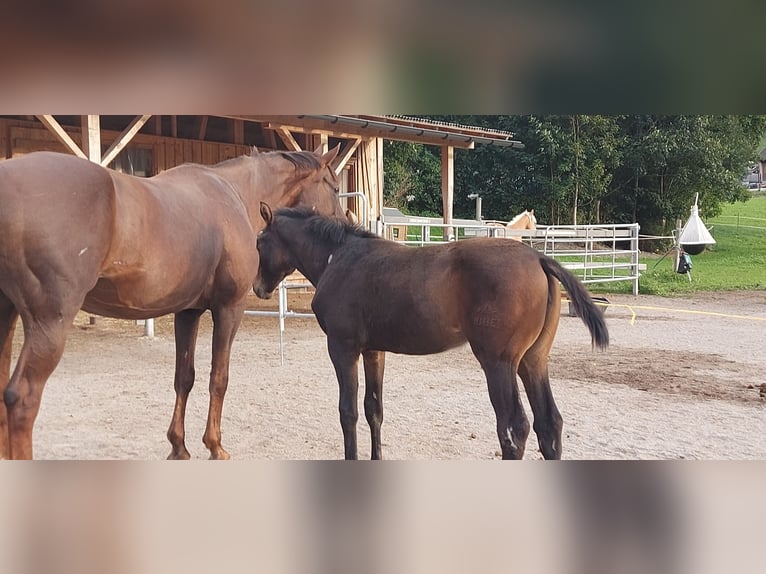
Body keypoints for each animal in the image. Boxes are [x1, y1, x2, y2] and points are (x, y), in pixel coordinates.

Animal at [0, 150, 344, 464]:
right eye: (335, 187)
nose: (344, 223)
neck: (234, 192)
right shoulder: (229, 309)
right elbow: (219, 377)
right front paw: (215, 445)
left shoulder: (187, 312)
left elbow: (184, 377)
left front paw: (179, 446)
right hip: (49, 324)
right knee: (22, 400)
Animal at [255, 205, 608, 462]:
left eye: (259, 242)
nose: (258, 288)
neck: (339, 258)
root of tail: (538, 257)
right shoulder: (373, 351)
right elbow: (373, 410)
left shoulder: (343, 348)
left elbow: (348, 412)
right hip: (533, 362)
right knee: (549, 424)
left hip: (499, 363)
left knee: (514, 429)